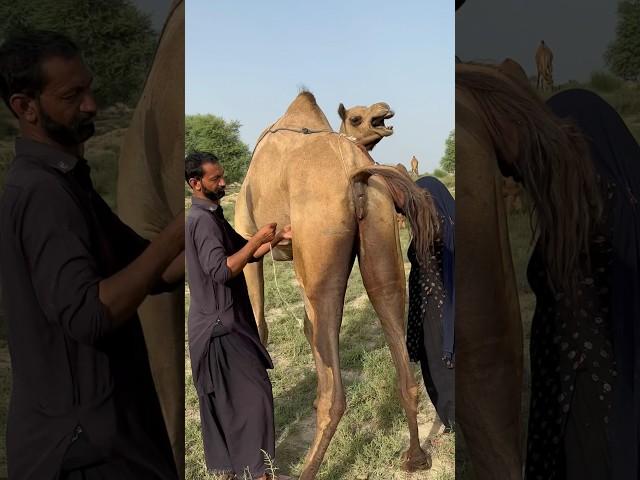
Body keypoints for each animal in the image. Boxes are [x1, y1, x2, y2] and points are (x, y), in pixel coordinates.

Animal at [235, 92, 440, 478]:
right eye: (357, 118)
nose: (384, 110)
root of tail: (355, 171)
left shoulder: (246, 234)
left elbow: (260, 324)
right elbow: (305, 326)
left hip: (322, 242)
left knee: (338, 391)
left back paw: (308, 468)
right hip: (379, 230)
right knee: (390, 317)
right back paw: (415, 457)